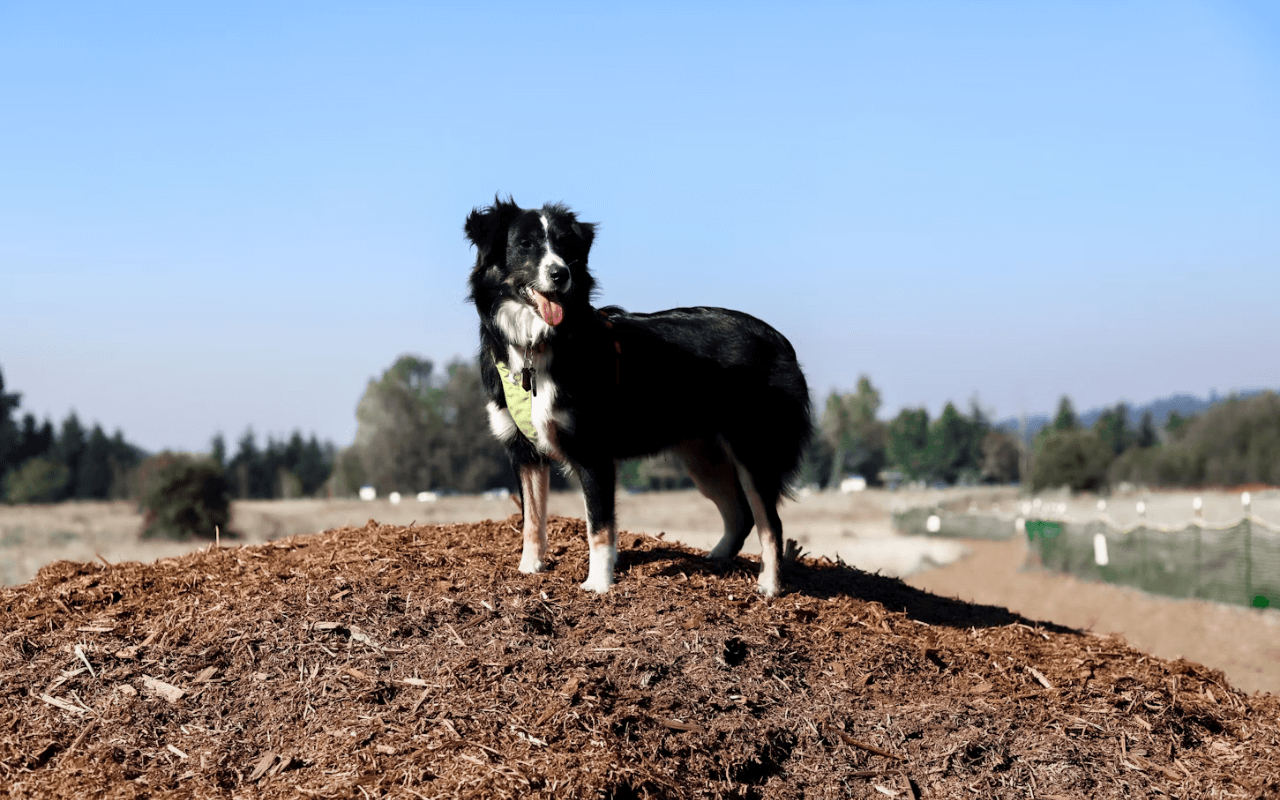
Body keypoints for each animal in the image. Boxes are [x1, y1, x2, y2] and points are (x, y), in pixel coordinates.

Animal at [465, 198, 814, 599]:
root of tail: (780, 341)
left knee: (770, 523)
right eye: (525, 244)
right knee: (740, 515)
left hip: (753, 452)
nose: (560, 275)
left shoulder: (593, 452)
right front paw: (529, 569)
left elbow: (599, 527)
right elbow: (532, 520)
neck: (536, 345)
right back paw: (715, 561)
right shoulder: (524, 452)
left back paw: (769, 585)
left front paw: (598, 584)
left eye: (566, 246)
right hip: (703, 457)